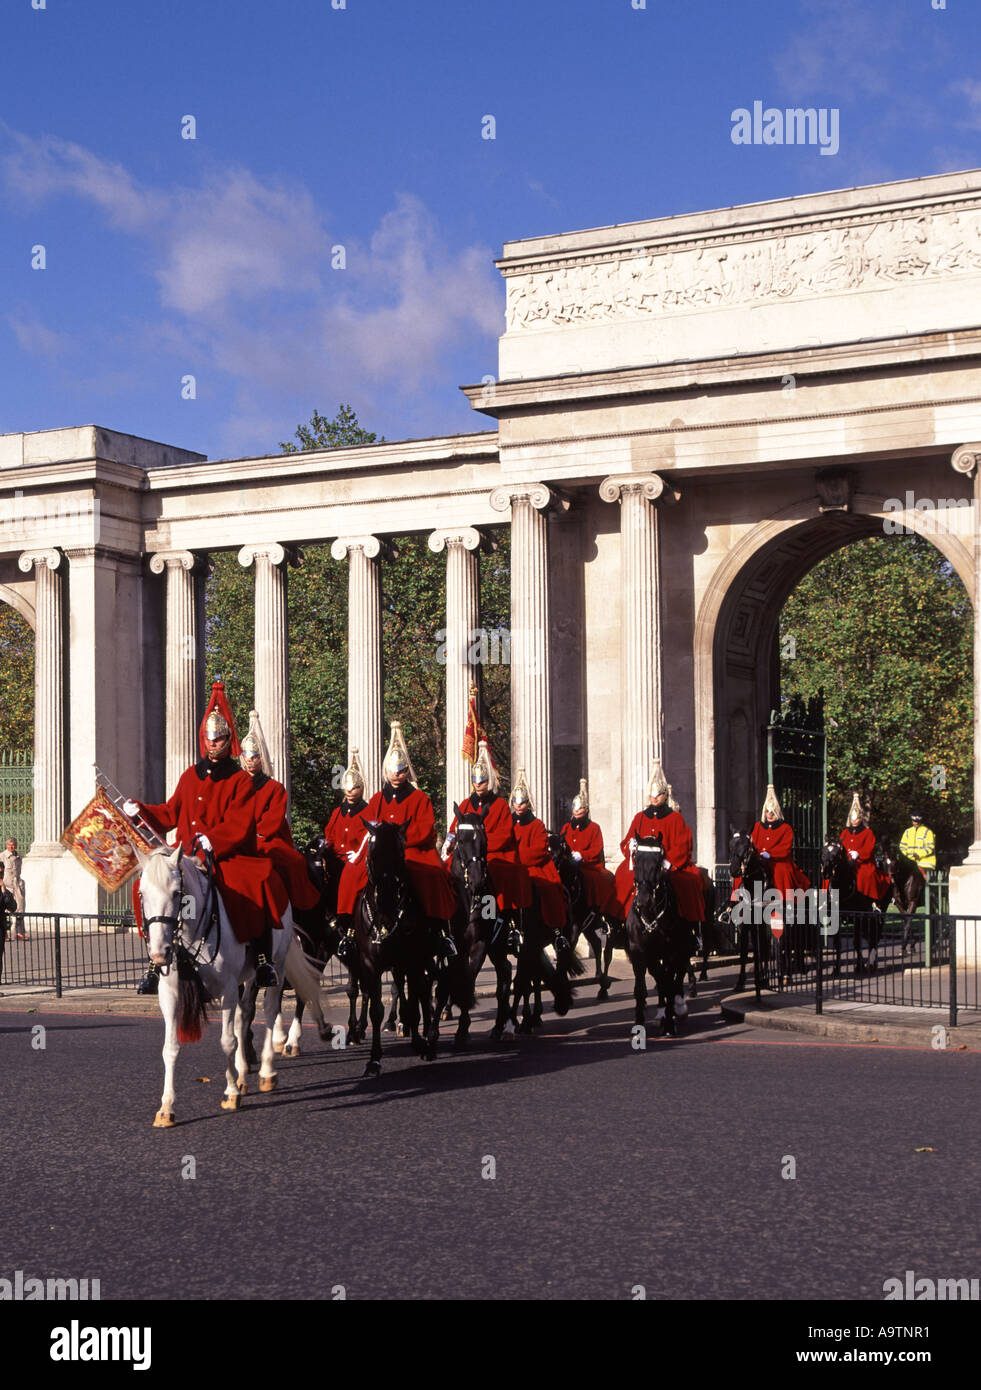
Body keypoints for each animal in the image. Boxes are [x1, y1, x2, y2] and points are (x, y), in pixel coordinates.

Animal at [135, 839, 326, 1123]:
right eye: (142, 894)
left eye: (177, 893)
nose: (160, 953)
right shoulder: (169, 993)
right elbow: (170, 1047)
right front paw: (166, 1107)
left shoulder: (226, 989)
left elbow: (227, 1042)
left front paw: (230, 1093)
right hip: (245, 979)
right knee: (243, 1015)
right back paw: (243, 1074)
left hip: (276, 966)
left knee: (269, 1011)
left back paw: (266, 1071)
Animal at [628, 828, 689, 1039]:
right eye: (636, 858)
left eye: (657, 862)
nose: (643, 900)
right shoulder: (639, 953)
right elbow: (642, 988)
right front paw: (639, 1025)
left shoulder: (671, 952)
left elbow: (668, 981)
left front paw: (670, 1023)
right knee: (661, 976)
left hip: (684, 947)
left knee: (679, 972)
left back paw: (678, 1006)